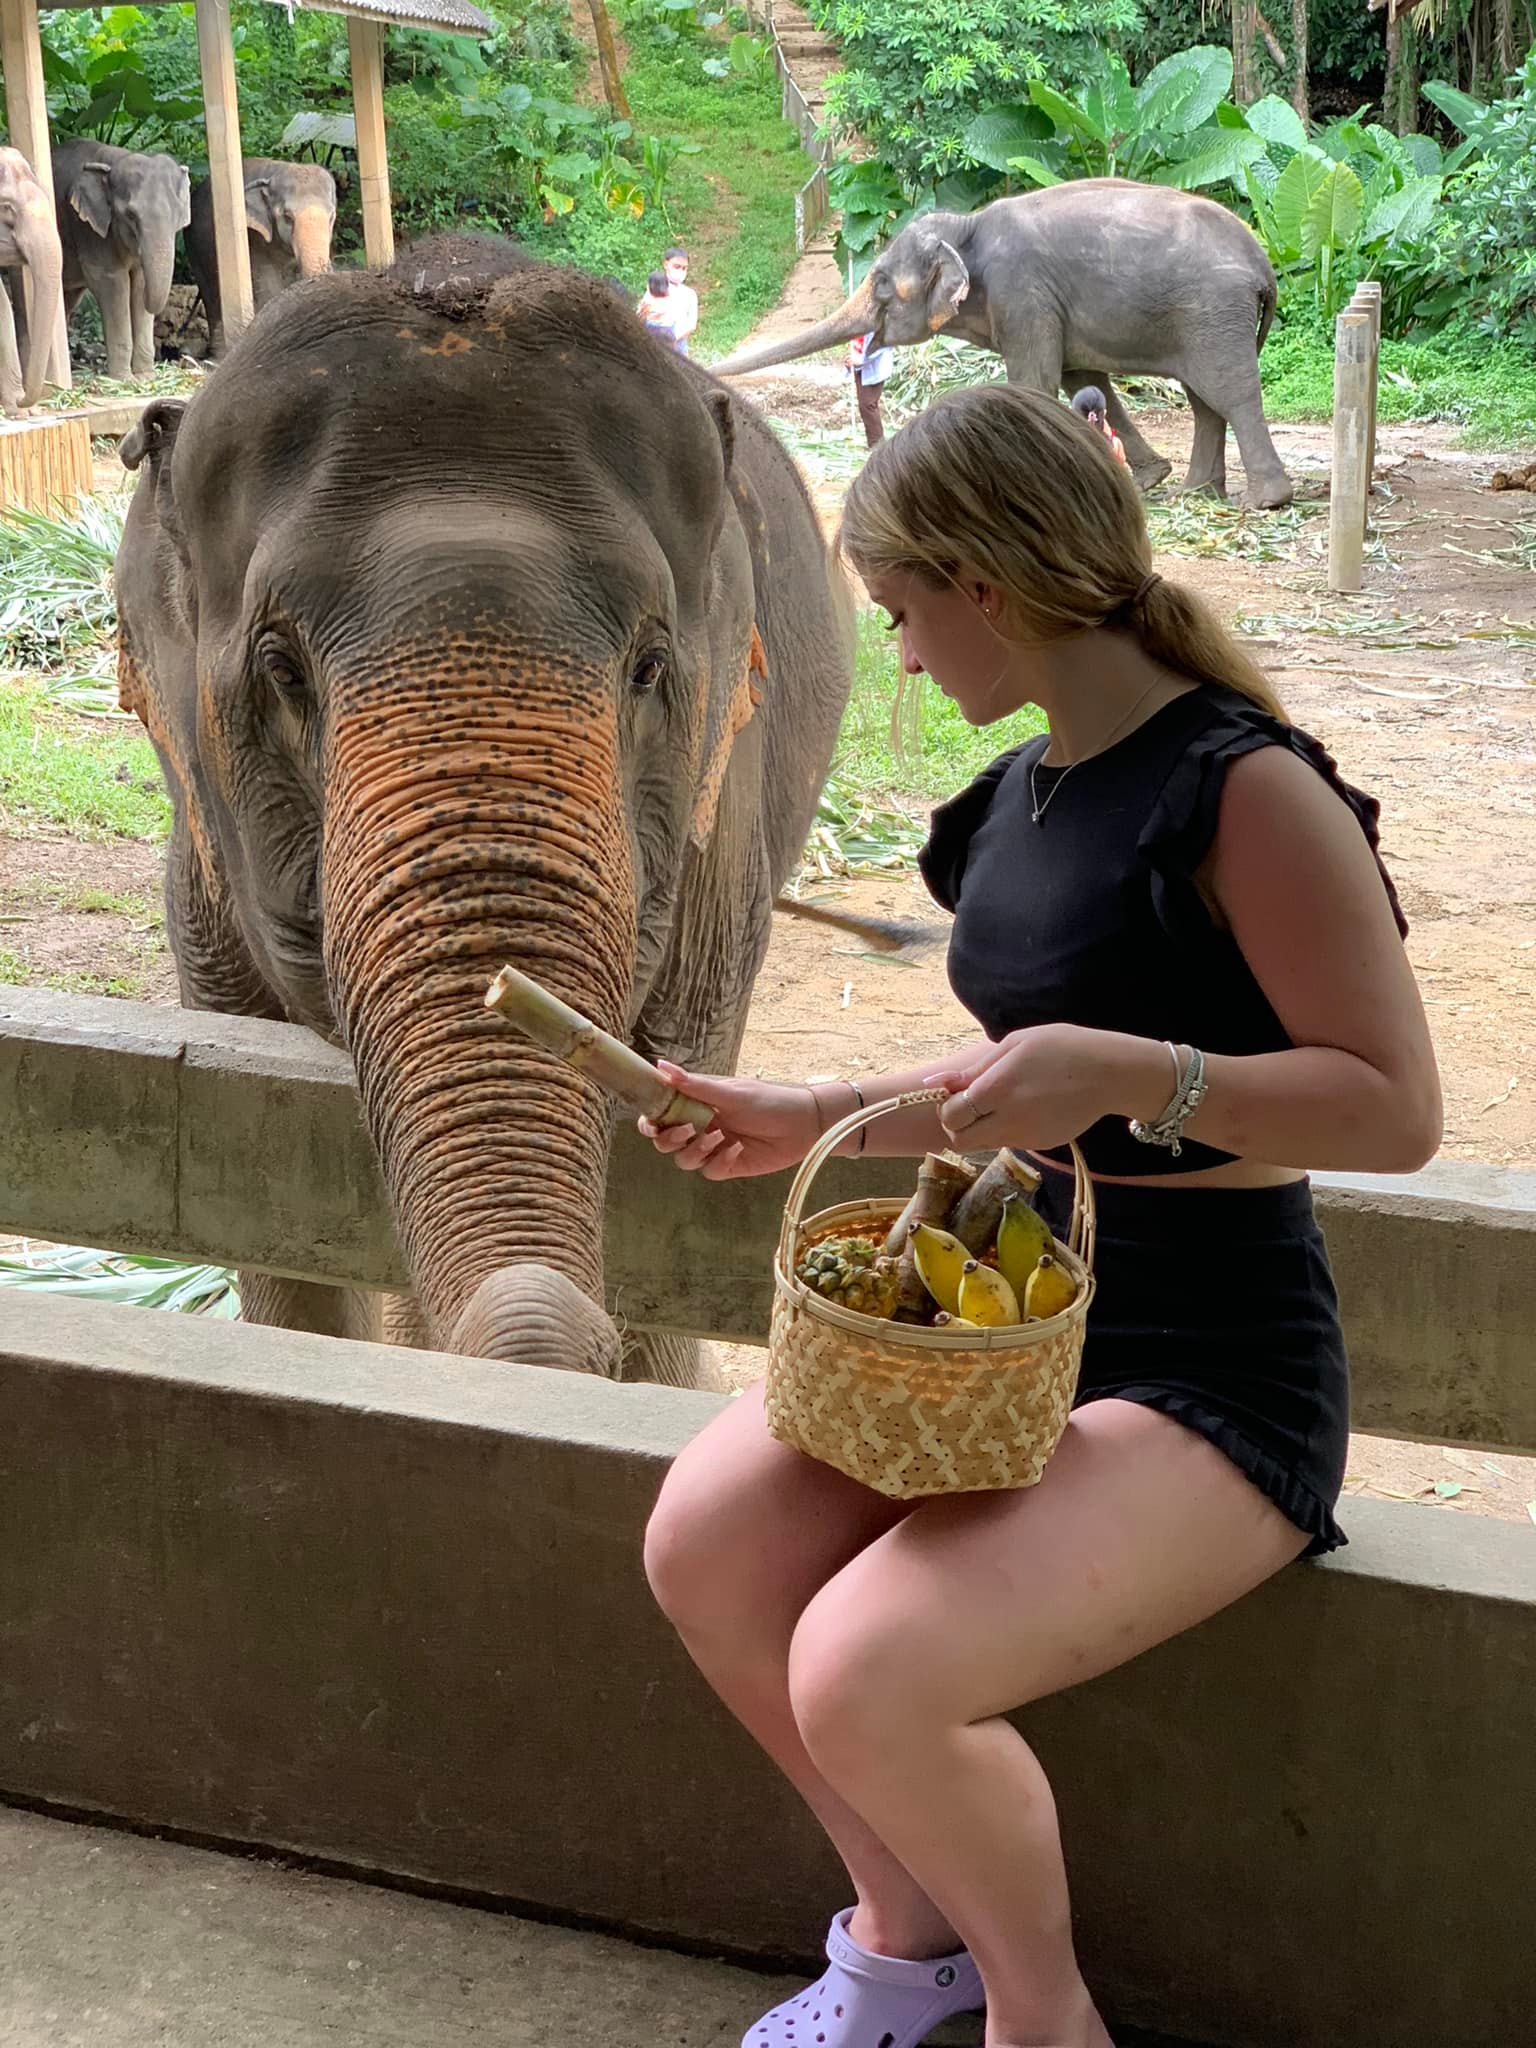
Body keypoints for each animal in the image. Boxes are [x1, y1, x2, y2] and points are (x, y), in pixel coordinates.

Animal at [54, 139, 191, 381]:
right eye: (130, 215)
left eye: (177, 215)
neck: (115, 159)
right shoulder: (89, 230)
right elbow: (114, 283)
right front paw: (124, 380)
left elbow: (139, 282)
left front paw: (146, 377)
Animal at [715, 178, 1295, 510]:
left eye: (880, 282)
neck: (966, 227)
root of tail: (1264, 264)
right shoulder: (1047, 304)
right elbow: (1081, 378)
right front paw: (1149, 479)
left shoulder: (1023, 291)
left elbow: (1037, 380)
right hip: (1206, 319)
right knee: (1203, 400)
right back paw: (1192, 493)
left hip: (1213, 312)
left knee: (1230, 392)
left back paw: (1262, 503)